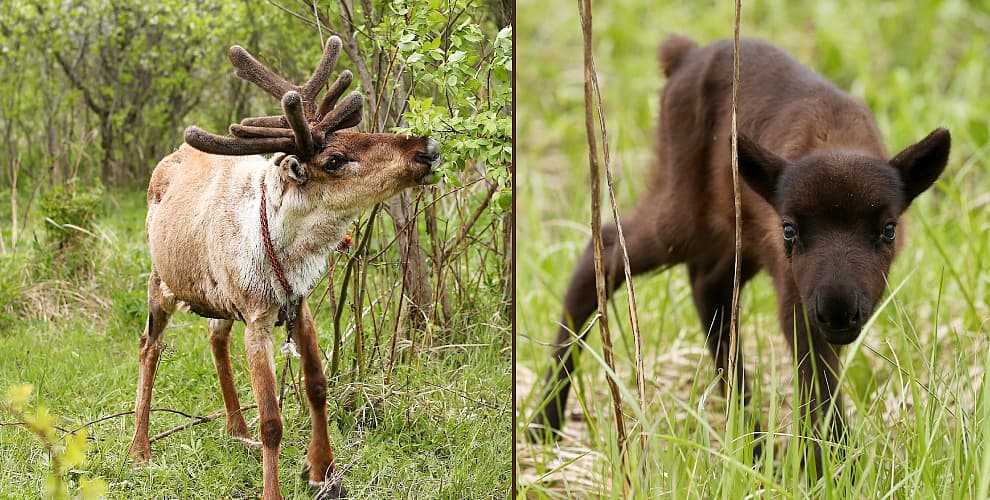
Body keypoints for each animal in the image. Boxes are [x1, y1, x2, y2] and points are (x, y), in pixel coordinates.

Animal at [130, 37, 440, 498]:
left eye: (356, 130)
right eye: (334, 159)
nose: (428, 150)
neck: (286, 252)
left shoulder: (301, 304)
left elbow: (317, 387)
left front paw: (323, 471)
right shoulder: (257, 320)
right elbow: (272, 421)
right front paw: (274, 489)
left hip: (220, 298)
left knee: (214, 335)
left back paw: (236, 429)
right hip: (161, 281)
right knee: (149, 345)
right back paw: (140, 448)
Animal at [536, 37, 952, 470]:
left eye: (889, 229)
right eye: (789, 228)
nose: (838, 311)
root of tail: (684, 55)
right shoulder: (797, 298)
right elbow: (820, 384)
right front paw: (833, 471)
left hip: (735, 236)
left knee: (708, 289)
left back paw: (750, 443)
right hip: (681, 213)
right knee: (603, 250)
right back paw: (544, 422)